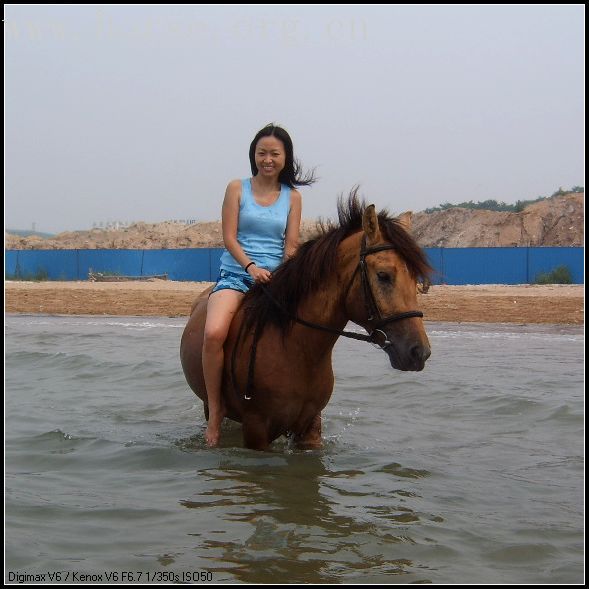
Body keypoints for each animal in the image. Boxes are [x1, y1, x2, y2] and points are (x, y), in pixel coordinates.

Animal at [179, 194, 432, 450]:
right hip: (211, 403)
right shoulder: (256, 430)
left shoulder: (311, 427)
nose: (419, 352)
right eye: (383, 275)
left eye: (415, 278)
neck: (296, 348)